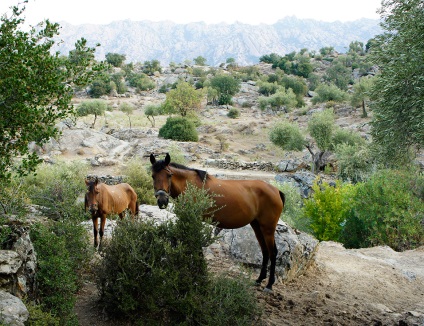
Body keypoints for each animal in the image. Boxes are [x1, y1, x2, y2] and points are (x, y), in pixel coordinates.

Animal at [149, 154, 284, 292]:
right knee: (265, 251)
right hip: (257, 226)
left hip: (268, 228)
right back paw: (259, 279)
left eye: (169, 175)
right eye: (153, 176)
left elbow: (196, 246)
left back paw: (269, 284)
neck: (190, 185)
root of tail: (276, 190)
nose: (162, 200)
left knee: (273, 252)